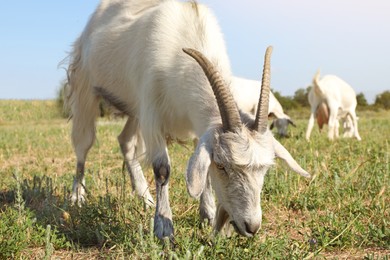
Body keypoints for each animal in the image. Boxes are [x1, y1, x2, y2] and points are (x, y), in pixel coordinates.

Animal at [67, 0, 310, 240]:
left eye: (265, 168)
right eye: (222, 165)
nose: (251, 226)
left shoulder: (196, 127)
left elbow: (204, 176)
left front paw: (208, 215)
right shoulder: (152, 114)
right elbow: (162, 169)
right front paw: (164, 227)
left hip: (135, 109)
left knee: (125, 141)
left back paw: (145, 198)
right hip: (86, 87)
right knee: (83, 144)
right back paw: (77, 197)